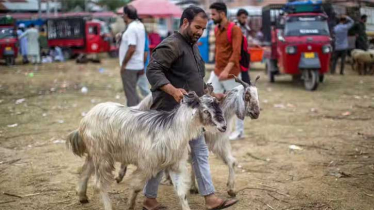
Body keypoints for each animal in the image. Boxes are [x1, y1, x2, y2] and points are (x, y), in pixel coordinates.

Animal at [65, 92, 226, 210]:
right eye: (206, 111)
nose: (223, 127)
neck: (174, 128)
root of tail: (85, 119)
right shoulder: (147, 164)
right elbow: (137, 186)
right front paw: (130, 204)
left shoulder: (175, 165)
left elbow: (181, 193)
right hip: (102, 155)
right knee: (100, 184)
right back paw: (107, 206)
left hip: (97, 153)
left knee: (86, 170)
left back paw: (82, 196)